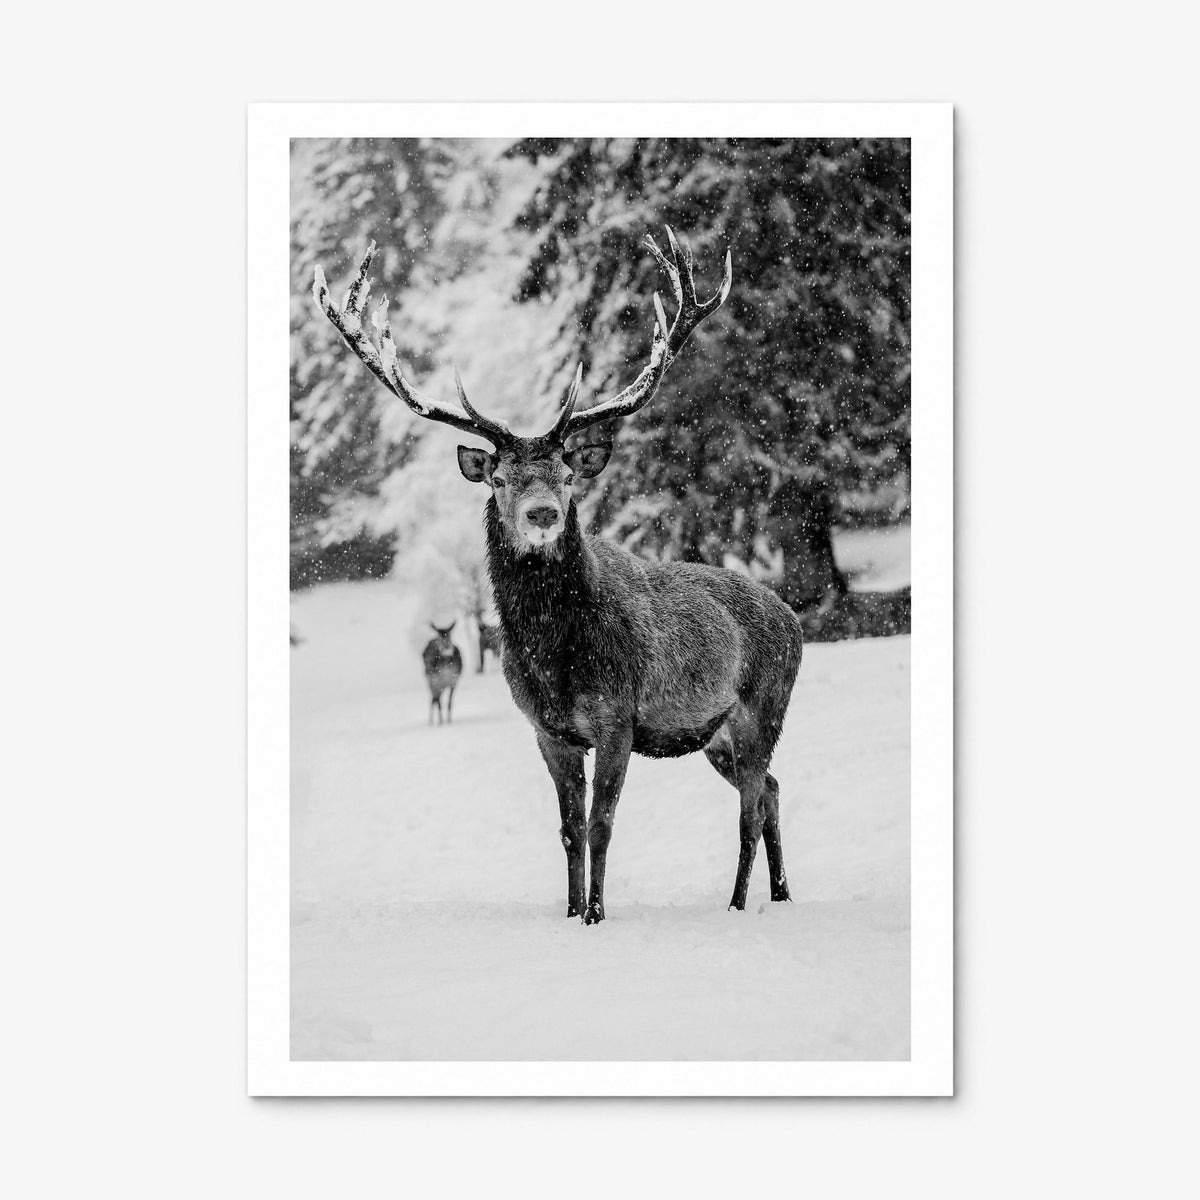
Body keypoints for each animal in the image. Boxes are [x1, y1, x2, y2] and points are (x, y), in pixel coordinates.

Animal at [313, 228, 804, 924]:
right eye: (499, 477)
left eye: (568, 475)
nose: (543, 512)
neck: (555, 656)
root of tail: (793, 617)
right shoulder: (547, 729)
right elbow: (569, 828)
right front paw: (571, 914)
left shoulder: (618, 716)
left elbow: (602, 824)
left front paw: (597, 914)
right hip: (714, 734)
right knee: (772, 792)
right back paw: (781, 893)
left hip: (765, 704)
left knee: (750, 807)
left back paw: (738, 903)